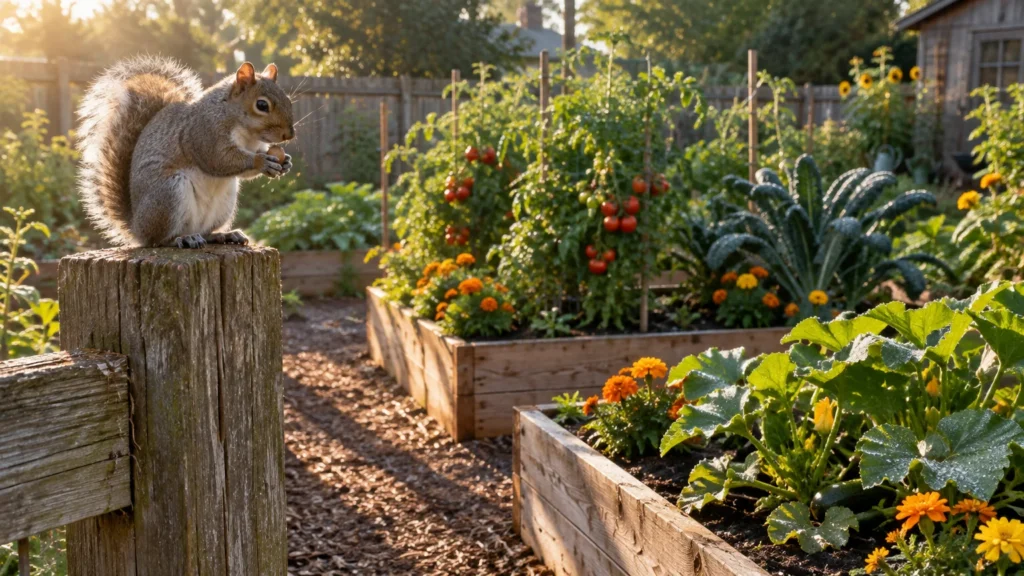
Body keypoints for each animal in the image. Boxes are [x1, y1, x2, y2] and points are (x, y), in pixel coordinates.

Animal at [77, 56, 296, 248]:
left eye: (288, 100)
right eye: (262, 105)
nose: (289, 134)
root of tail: (137, 228)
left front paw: (285, 162)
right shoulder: (205, 133)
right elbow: (220, 160)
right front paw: (262, 162)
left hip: (223, 204)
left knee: (205, 233)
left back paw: (224, 235)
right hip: (168, 194)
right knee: (159, 240)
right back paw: (182, 239)